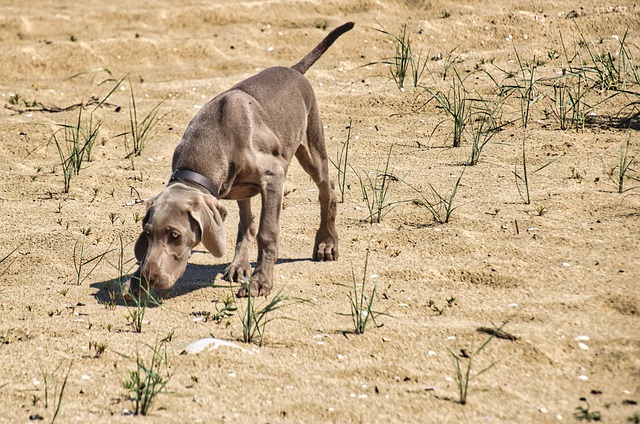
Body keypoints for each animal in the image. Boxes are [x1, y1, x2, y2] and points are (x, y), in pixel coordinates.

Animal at [127, 20, 352, 298]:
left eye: (175, 235)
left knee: (327, 190)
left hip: (311, 145)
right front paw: (135, 280)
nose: (149, 277)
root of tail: (293, 69)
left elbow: (267, 232)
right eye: (147, 233)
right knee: (247, 223)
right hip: (242, 188)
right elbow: (249, 226)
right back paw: (238, 266)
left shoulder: (273, 175)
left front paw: (261, 280)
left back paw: (326, 244)